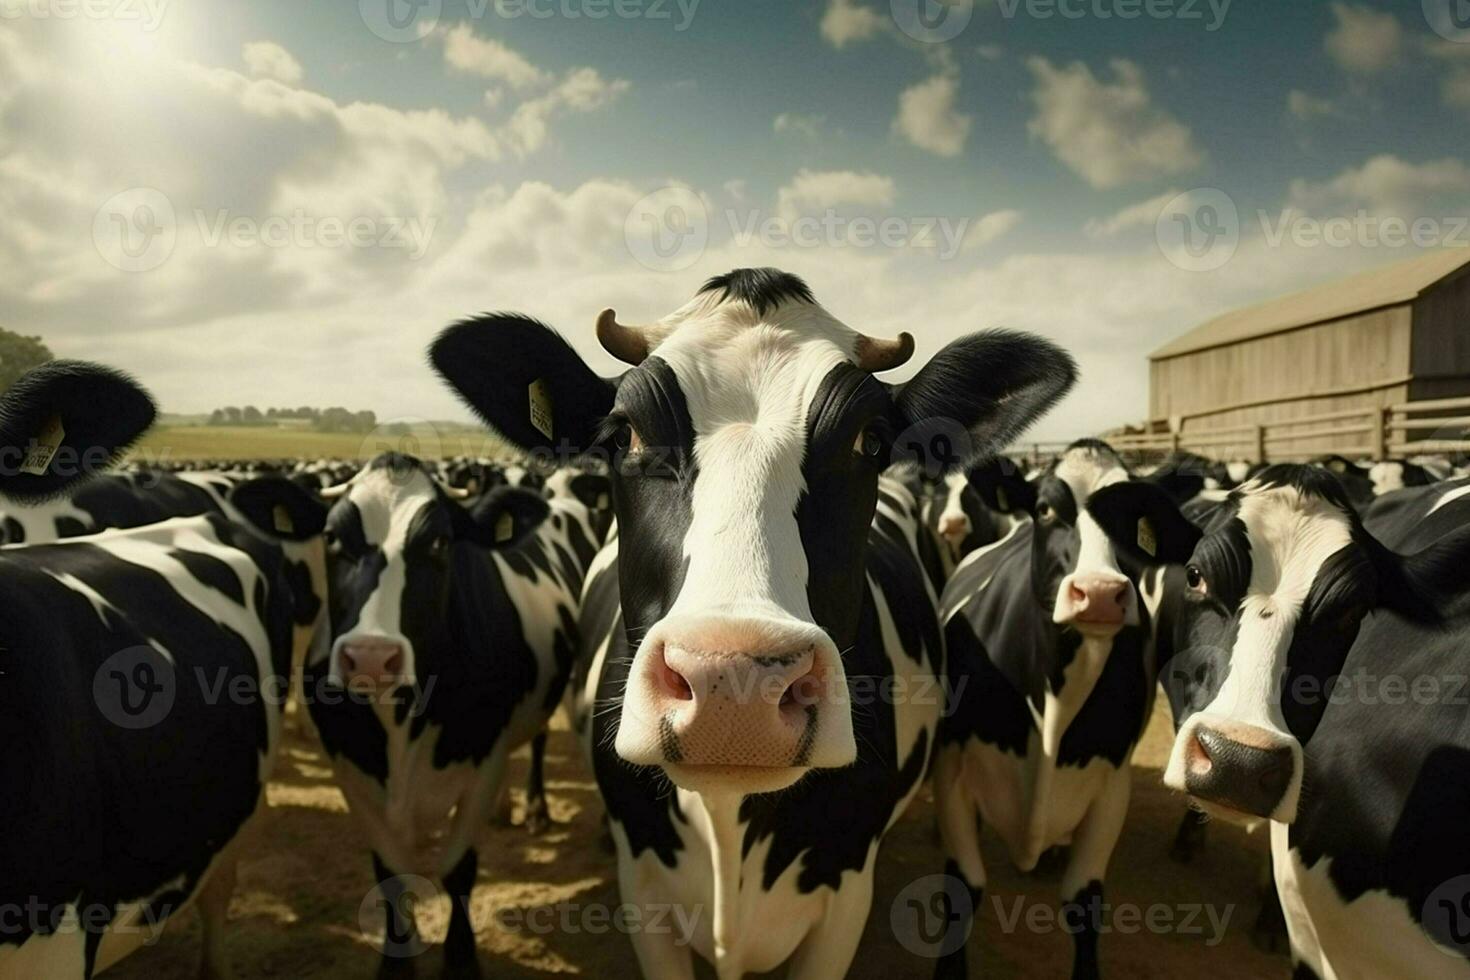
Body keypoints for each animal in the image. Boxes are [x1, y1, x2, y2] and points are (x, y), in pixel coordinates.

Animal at [301, 455, 599, 975]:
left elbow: (459, 870)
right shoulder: (349, 767)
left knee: (539, 737)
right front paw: (396, 963)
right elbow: (390, 871)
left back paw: (534, 808)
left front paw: (461, 960)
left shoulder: (482, 761)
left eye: (439, 542)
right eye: (332, 537)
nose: (372, 656)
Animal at [934, 440, 1199, 975]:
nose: (1097, 593)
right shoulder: (953, 768)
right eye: (1044, 509)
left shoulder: (1110, 785)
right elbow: (963, 890)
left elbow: (1084, 903)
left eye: (1132, 519)